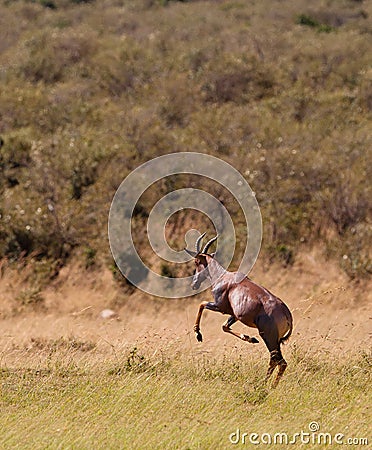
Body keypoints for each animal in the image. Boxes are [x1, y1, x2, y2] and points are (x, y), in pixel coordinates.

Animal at [185, 232, 292, 386]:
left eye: (196, 262)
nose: (194, 284)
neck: (223, 277)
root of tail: (287, 313)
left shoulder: (220, 307)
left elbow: (202, 304)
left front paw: (198, 334)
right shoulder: (234, 315)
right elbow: (224, 327)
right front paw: (250, 338)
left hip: (268, 337)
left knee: (278, 361)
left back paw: (266, 385)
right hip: (275, 340)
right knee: (277, 361)